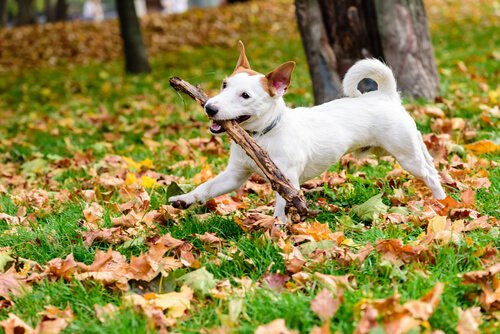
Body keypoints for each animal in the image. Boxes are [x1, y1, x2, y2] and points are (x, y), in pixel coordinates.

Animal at [170, 41, 448, 222]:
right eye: (224, 85)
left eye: (245, 95)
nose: (209, 107)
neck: (264, 137)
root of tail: (385, 95)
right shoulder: (234, 176)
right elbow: (207, 188)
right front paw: (185, 199)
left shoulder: (287, 182)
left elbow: (281, 207)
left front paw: (279, 230)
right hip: (406, 148)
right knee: (430, 164)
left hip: (405, 155)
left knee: (429, 176)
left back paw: (441, 202)